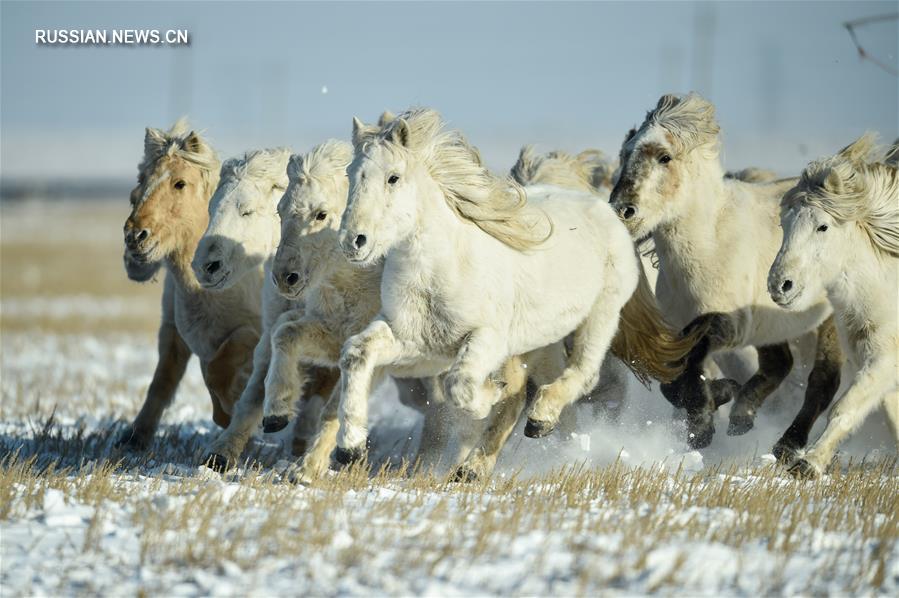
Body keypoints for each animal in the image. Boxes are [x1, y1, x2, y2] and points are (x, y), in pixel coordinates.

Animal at [193, 148, 338, 472]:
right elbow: (257, 387)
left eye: (246, 211)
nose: (205, 266)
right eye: (210, 207)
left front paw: (309, 460)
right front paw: (221, 453)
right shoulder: (274, 326)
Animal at [334, 108, 700, 464]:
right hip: (542, 338)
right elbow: (356, 353)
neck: (441, 271)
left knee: (582, 374)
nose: (354, 242)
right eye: (350, 174)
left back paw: (540, 421)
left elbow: (460, 386)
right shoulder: (414, 342)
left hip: (601, 316)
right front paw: (349, 448)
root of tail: (606, 209)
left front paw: (490, 393)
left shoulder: (487, 338)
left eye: (393, 177)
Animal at [608, 92, 840, 454]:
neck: (710, 245)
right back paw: (745, 417)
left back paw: (786, 445)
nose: (622, 212)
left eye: (664, 157)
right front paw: (716, 403)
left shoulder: (730, 326)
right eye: (625, 152)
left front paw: (705, 422)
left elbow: (693, 366)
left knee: (822, 379)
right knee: (781, 364)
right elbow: (674, 383)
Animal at [768, 134, 899, 480]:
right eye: (784, 223)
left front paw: (809, 463)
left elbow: (845, 408)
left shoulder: (884, 361)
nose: (780, 285)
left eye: (823, 227)